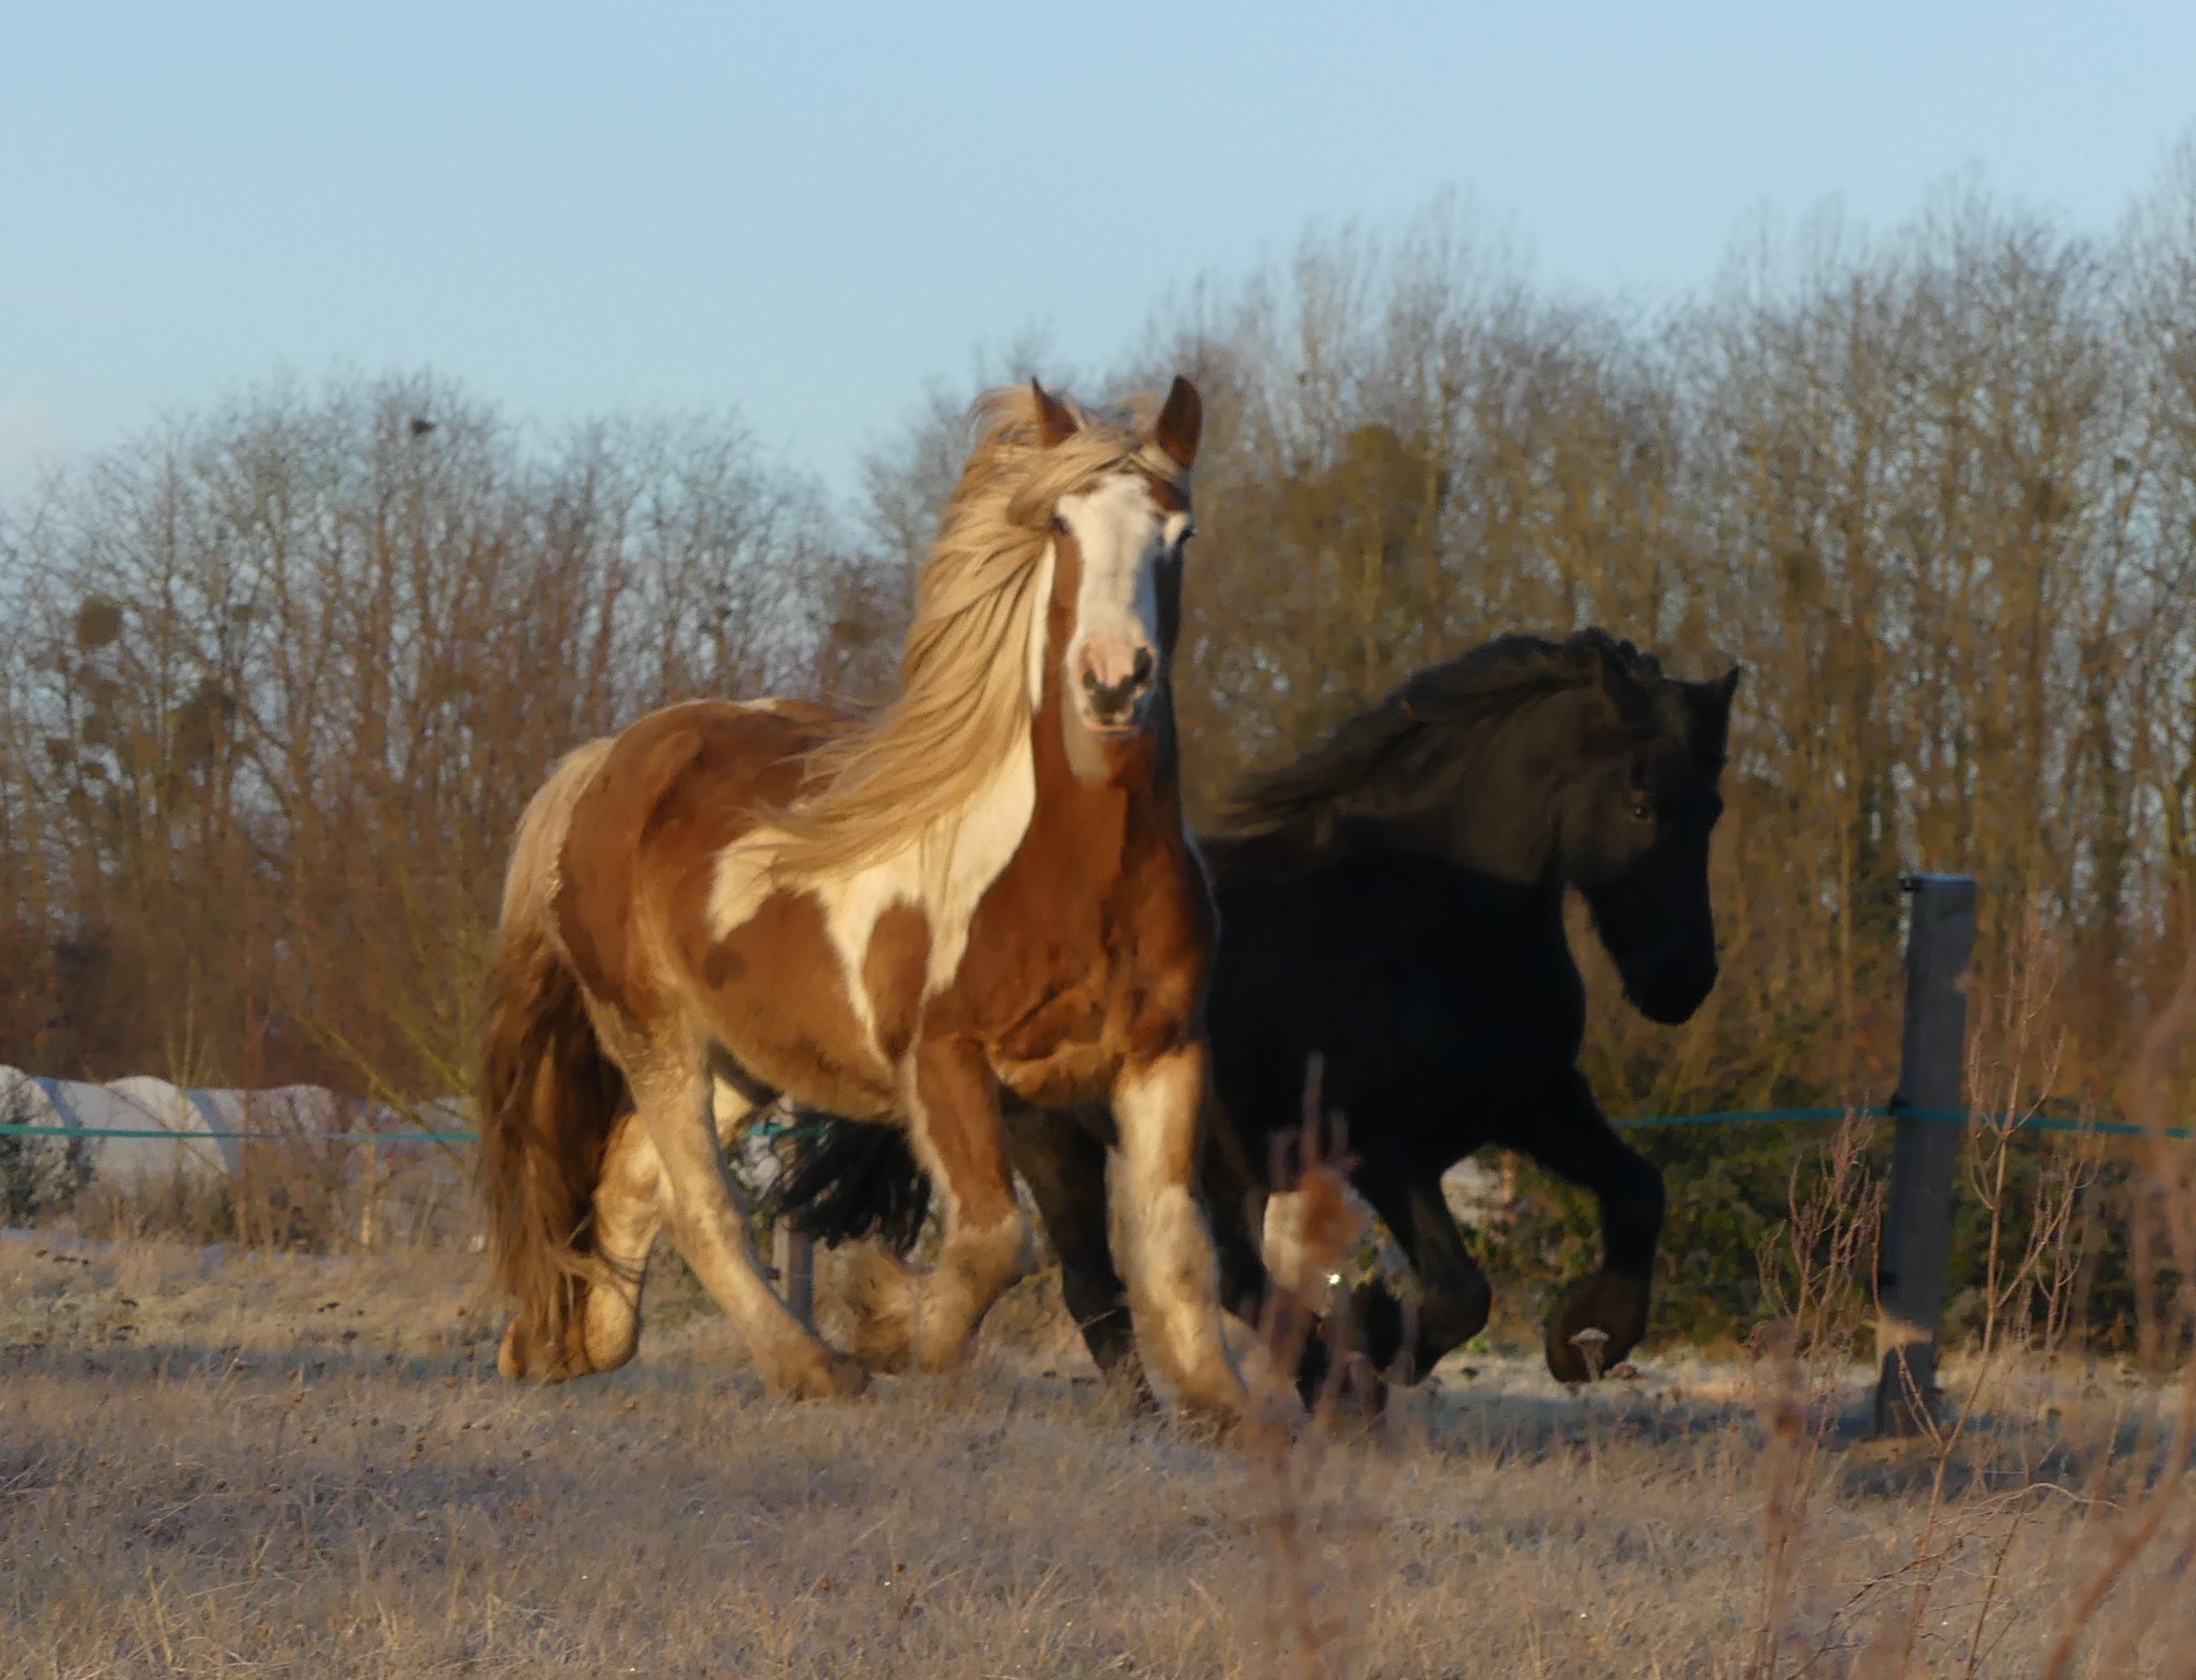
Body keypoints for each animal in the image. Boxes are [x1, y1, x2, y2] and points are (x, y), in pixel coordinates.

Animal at [475, 378, 1247, 1419]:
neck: (1070, 874)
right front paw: (900, 1333)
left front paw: (1225, 1408)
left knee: (635, 1182)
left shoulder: (1159, 1054)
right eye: (1060, 524)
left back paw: (590, 1341)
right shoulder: (947, 1063)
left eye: (1179, 530)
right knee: (702, 1204)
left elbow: (1170, 1246)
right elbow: (996, 1241)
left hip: (745, 1057)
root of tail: (600, 764)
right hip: (651, 1030)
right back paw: (811, 1367)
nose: (1113, 680)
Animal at [776, 630, 1740, 1390]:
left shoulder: (1534, 1100)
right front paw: (1374, 1349)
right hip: (1058, 1140)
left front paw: (1582, 1343)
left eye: (1712, 809)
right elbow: (1458, 1291)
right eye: (1639, 802)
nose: (1680, 981)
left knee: (1199, 1279)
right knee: (1105, 1288)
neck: (1431, 922)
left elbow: (1638, 1193)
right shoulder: (1380, 1143)